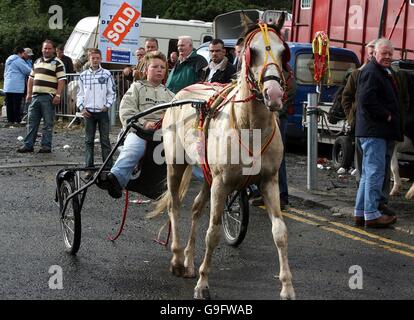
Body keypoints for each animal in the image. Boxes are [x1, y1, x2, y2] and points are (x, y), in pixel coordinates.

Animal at [149, 15, 294, 300]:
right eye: (252, 51)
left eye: (284, 52)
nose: (273, 94)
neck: (251, 127)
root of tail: (183, 92)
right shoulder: (221, 184)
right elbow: (213, 232)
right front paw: (203, 283)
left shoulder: (269, 181)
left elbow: (281, 233)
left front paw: (287, 287)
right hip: (177, 165)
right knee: (175, 206)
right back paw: (177, 258)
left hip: (207, 175)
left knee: (195, 208)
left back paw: (189, 260)